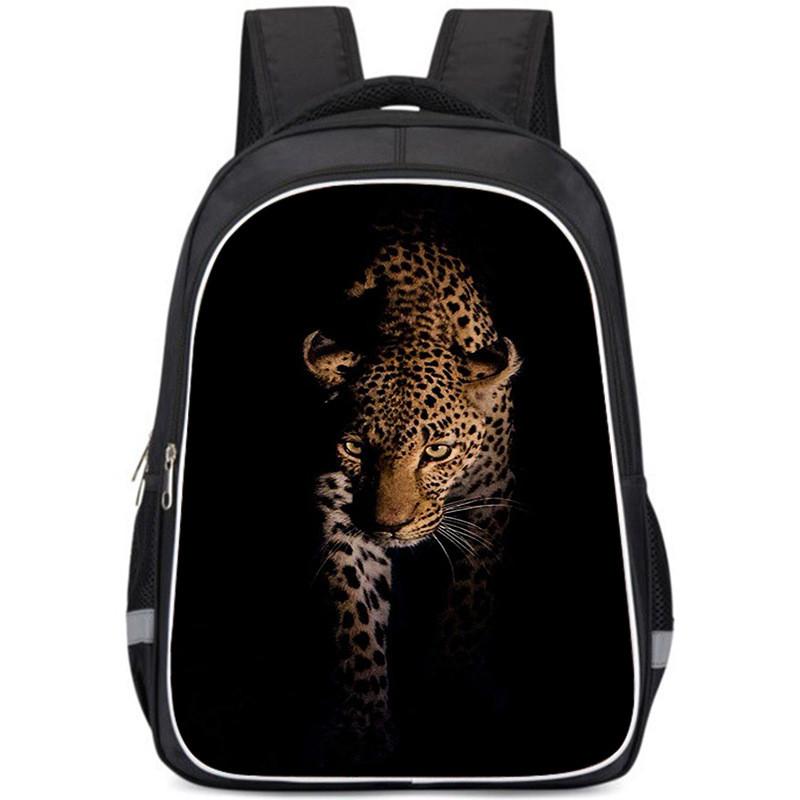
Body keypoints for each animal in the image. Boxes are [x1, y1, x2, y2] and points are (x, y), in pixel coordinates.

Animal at [303, 230, 522, 764]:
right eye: (355, 448)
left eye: (437, 450)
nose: (390, 526)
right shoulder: (341, 511)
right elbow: (355, 617)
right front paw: (363, 732)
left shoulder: (489, 503)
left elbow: (467, 608)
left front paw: (446, 698)